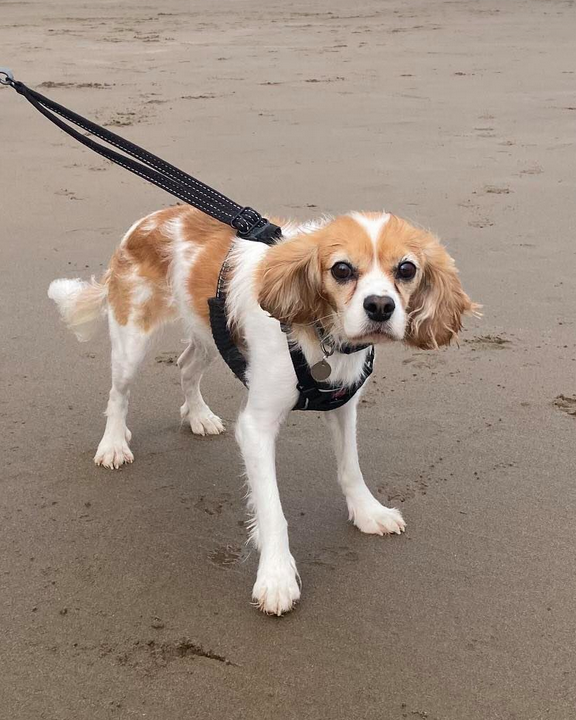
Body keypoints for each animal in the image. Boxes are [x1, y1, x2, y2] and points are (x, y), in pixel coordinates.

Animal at [48, 205, 472, 616]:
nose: (381, 306)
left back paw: (198, 416)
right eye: (341, 269)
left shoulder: (343, 404)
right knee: (118, 394)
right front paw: (277, 577)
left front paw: (368, 512)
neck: (321, 334)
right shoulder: (256, 426)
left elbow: (350, 467)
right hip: (132, 339)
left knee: (185, 367)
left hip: (209, 333)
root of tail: (147, 221)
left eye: (407, 269)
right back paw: (113, 444)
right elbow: (271, 509)